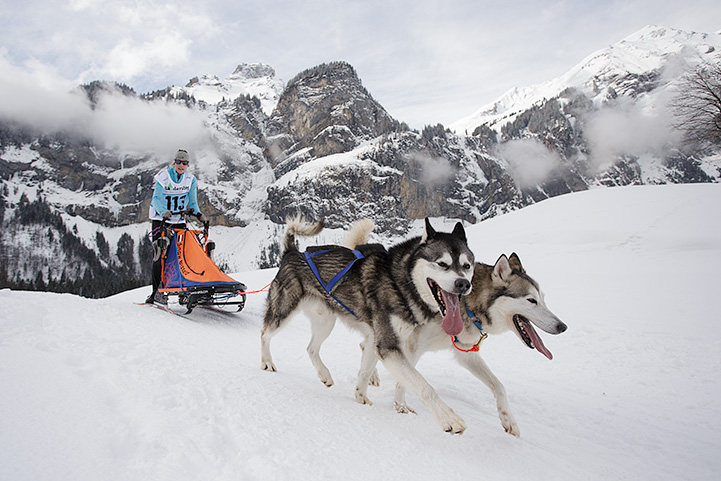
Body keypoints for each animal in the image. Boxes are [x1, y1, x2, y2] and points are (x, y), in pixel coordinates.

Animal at [262, 216, 476, 434]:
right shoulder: (388, 347)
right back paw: (267, 362)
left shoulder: (376, 339)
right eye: (442, 264)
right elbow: (423, 385)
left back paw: (324, 374)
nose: (463, 284)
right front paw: (449, 418)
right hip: (283, 311)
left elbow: (365, 371)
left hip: (325, 321)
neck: (400, 282)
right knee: (265, 333)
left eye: (467, 266)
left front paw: (361, 397)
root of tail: (292, 252)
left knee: (311, 348)